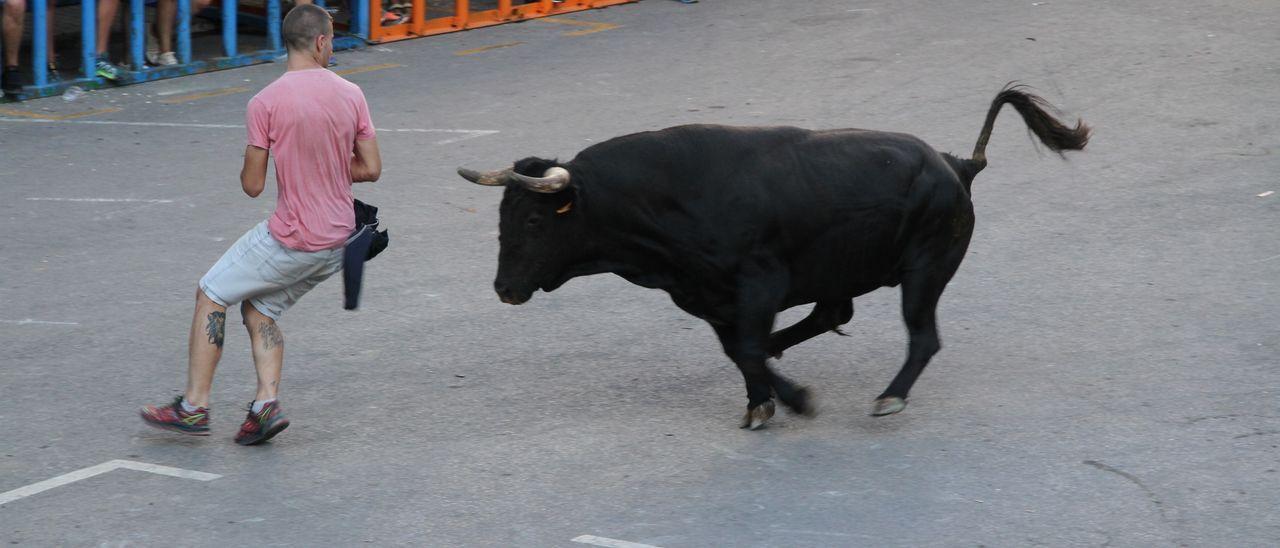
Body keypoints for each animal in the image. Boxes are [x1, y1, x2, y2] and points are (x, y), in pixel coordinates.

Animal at [455, 85, 1085, 430]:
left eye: (533, 220)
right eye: (503, 218)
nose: (504, 288)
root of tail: (955, 164)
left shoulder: (758, 284)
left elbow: (750, 348)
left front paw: (794, 399)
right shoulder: (709, 297)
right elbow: (742, 350)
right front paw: (764, 401)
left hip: (924, 272)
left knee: (921, 338)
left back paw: (890, 397)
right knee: (831, 315)